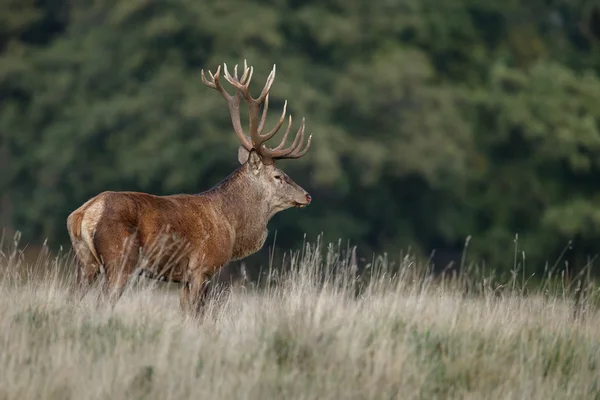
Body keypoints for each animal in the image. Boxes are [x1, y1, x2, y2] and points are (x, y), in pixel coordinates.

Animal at [68, 60, 314, 316]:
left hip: (85, 262)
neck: (232, 225)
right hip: (120, 259)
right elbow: (199, 315)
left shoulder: (183, 279)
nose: (307, 196)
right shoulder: (202, 267)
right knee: (103, 302)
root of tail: (83, 215)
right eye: (278, 176)